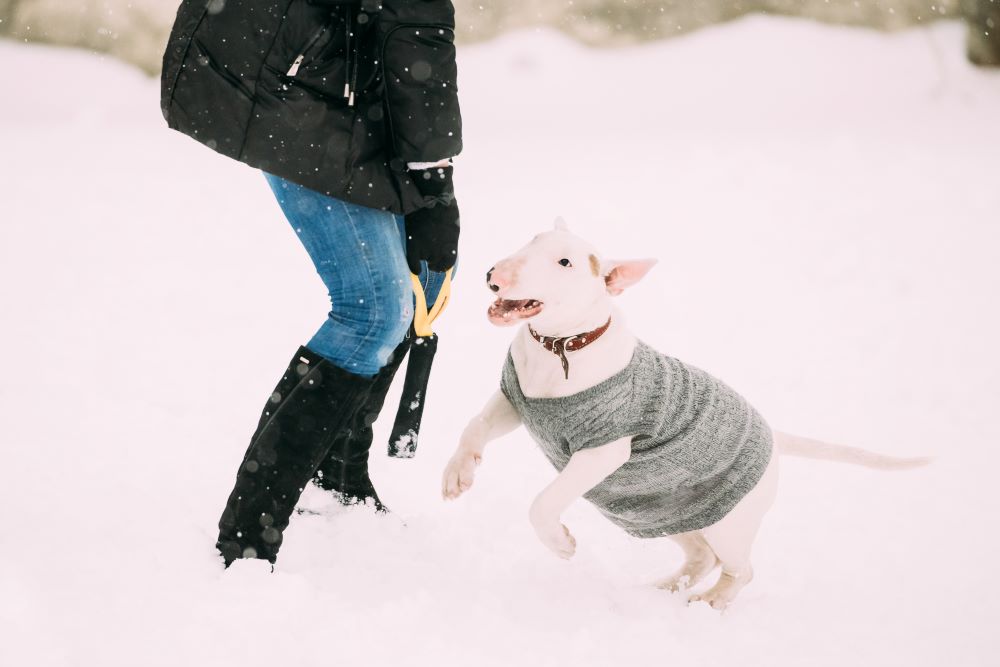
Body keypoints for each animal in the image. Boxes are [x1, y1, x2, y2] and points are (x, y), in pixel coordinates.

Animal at [446, 220, 928, 612]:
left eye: (565, 262)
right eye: (533, 239)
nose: (494, 276)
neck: (561, 347)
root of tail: (773, 435)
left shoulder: (603, 449)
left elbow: (544, 501)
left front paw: (561, 544)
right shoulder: (515, 400)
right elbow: (477, 424)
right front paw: (457, 475)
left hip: (730, 522)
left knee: (739, 567)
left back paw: (711, 601)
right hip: (658, 510)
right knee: (700, 556)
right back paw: (663, 589)